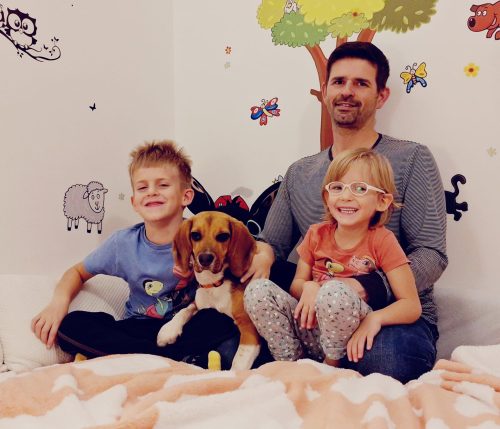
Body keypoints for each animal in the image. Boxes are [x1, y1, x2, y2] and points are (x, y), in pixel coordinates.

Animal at [157, 211, 260, 370]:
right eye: (195, 235)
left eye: (223, 236)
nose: (205, 258)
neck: (214, 284)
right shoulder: (199, 304)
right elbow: (184, 310)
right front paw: (168, 330)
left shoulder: (248, 325)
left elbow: (239, 361)